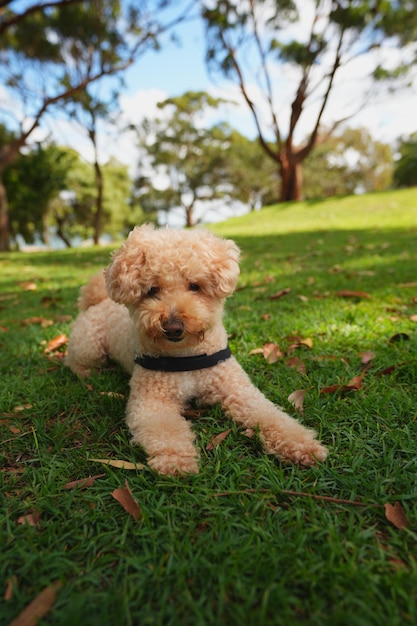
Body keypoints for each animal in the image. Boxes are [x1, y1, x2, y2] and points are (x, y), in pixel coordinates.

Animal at [65, 224, 326, 472]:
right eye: (152, 290)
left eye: (194, 286)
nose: (173, 327)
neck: (187, 355)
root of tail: (97, 301)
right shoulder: (151, 401)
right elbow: (165, 430)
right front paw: (175, 460)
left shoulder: (239, 391)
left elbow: (271, 416)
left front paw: (304, 446)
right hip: (89, 346)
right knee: (75, 362)